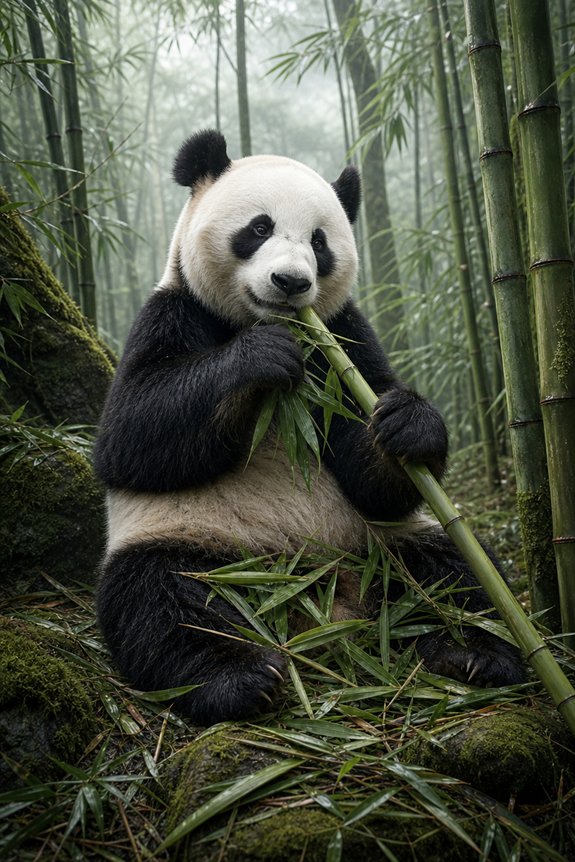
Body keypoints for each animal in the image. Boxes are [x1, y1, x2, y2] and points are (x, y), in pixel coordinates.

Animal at [93, 129, 524, 725]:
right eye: (259, 228)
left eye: (320, 242)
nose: (291, 282)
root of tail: (323, 598)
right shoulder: (172, 312)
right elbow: (131, 437)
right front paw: (259, 357)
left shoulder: (343, 336)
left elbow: (374, 472)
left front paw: (407, 425)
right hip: (199, 540)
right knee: (167, 601)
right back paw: (239, 678)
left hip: (386, 543)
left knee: (459, 574)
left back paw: (475, 652)